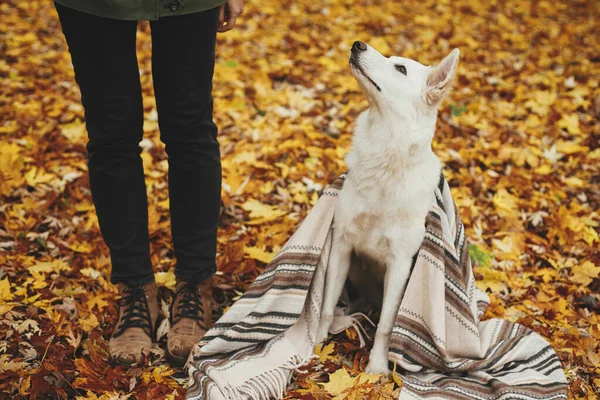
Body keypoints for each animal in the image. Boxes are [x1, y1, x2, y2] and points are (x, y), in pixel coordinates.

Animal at [318, 43, 460, 376]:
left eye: (401, 69)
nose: (358, 44)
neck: (384, 164)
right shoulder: (342, 245)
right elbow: (328, 305)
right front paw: (311, 345)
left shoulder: (400, 263)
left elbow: (386, 325)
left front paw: (377, 368)